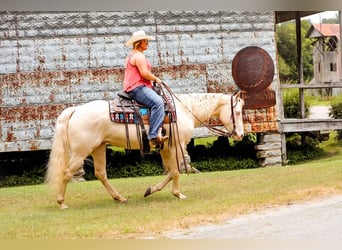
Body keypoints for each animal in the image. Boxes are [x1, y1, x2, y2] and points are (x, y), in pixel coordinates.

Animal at [45, 90, 244, 209]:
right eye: (238, 112)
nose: (240, 135)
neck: (183, 110)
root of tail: (75, 110)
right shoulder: (176, 146)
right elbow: (176, 171)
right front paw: (178, 194)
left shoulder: (165, 148)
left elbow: (171, 171)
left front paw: (150, 190)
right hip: (81, 151)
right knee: (66, 173)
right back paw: (61, 203)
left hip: (98, 148)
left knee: (100, 173)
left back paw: (119, 198)